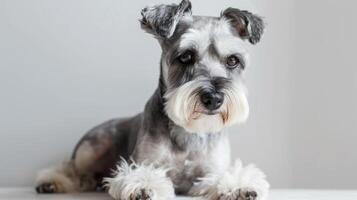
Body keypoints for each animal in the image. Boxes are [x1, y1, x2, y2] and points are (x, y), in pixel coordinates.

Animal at [36, 0, 268, 199]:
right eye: (186, 56)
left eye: (233, 60)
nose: (214, 98)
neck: (187, 131)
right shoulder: (146, 162)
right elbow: (143, 174)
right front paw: (144, 186)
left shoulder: (212, 169)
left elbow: (219, 177)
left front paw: (238, 186)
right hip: (90, 151)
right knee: (72, 169)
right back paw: (51, 182)